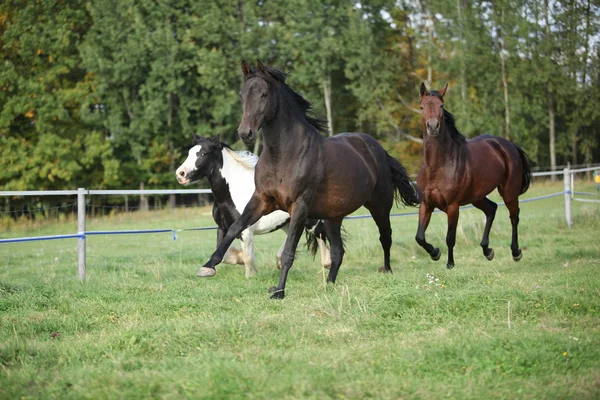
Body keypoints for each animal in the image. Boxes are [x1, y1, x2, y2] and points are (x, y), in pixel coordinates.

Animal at [173, 134, 332, 278]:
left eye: (203, 154)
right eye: (189, 153)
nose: (180, 174)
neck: (233, 192)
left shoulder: (246, 231)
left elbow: (248, 261)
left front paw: (251, 277)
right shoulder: (222, 227)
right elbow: (225, 254)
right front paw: (232, 260)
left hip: (311, 221)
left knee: (320, 234)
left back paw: (327, 263)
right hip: (287, 223)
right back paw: (279, 261)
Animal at [196, 59, 418, 296]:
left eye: (264, 94)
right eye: (242, 94)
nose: (245, 133)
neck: (284, 155)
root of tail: (378, 149)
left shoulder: (299, 206)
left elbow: (288, 252)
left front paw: (279, 291)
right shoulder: (262, 200)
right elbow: (234, 228)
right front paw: (208, 266)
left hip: (379, 205)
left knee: (385, 236)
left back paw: (386, 270)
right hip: (333, 218)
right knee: (338, 251)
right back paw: (329, 284)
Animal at [414, 82, 532, 268]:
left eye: (441, 106)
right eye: (422, 106)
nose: (433, 127)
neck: (437, 167)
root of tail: (508, 145)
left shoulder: (453, 207)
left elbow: (450, 238)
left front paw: (450, 264)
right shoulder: (426, 204)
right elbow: (419, 237)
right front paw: (435, 253)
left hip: (509, 193)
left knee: (514, 216)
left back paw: (515, 252)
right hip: (477, 197)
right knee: (492, 209)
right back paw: (487, 250)